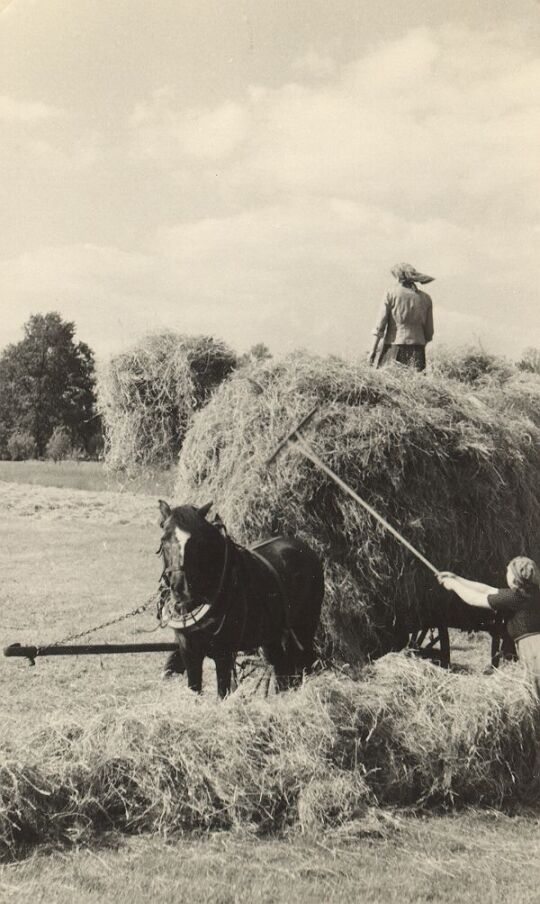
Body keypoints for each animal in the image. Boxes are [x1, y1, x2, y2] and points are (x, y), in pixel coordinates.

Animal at [156, 502, 324, 700]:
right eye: (164, 539)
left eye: (198, 542)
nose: (179, 586)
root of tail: (305, 548)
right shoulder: (189, 651)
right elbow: (194, 689)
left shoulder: (224, 654)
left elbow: (222, 693)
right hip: (273, 636)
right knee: (282, 669)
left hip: (305, 628)